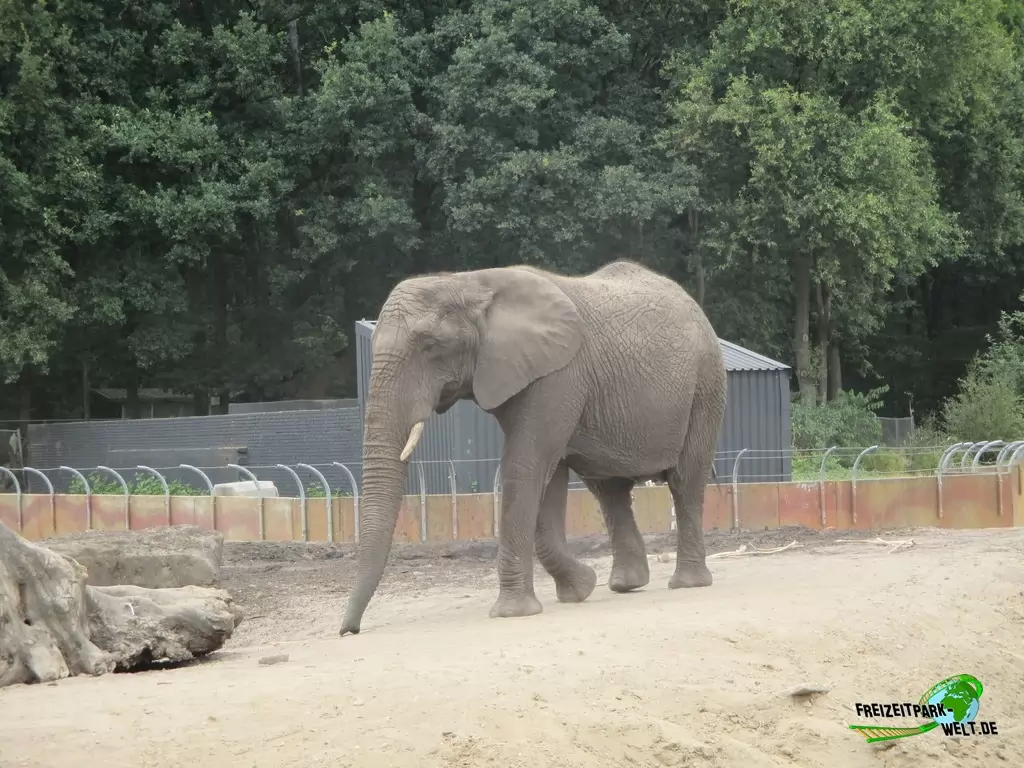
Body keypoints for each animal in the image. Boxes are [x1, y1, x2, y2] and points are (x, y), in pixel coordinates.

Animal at [339, 259, 727, 635]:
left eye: (430, 345)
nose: (349, 631)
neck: (470, 282)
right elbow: (546, 475)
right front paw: (580, 589)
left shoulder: (558, 374)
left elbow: (525, 465)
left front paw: (513, 613)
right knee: (609, 491)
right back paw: (624, 585)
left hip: (706, 384)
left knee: (685, 483)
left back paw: (687, 583)